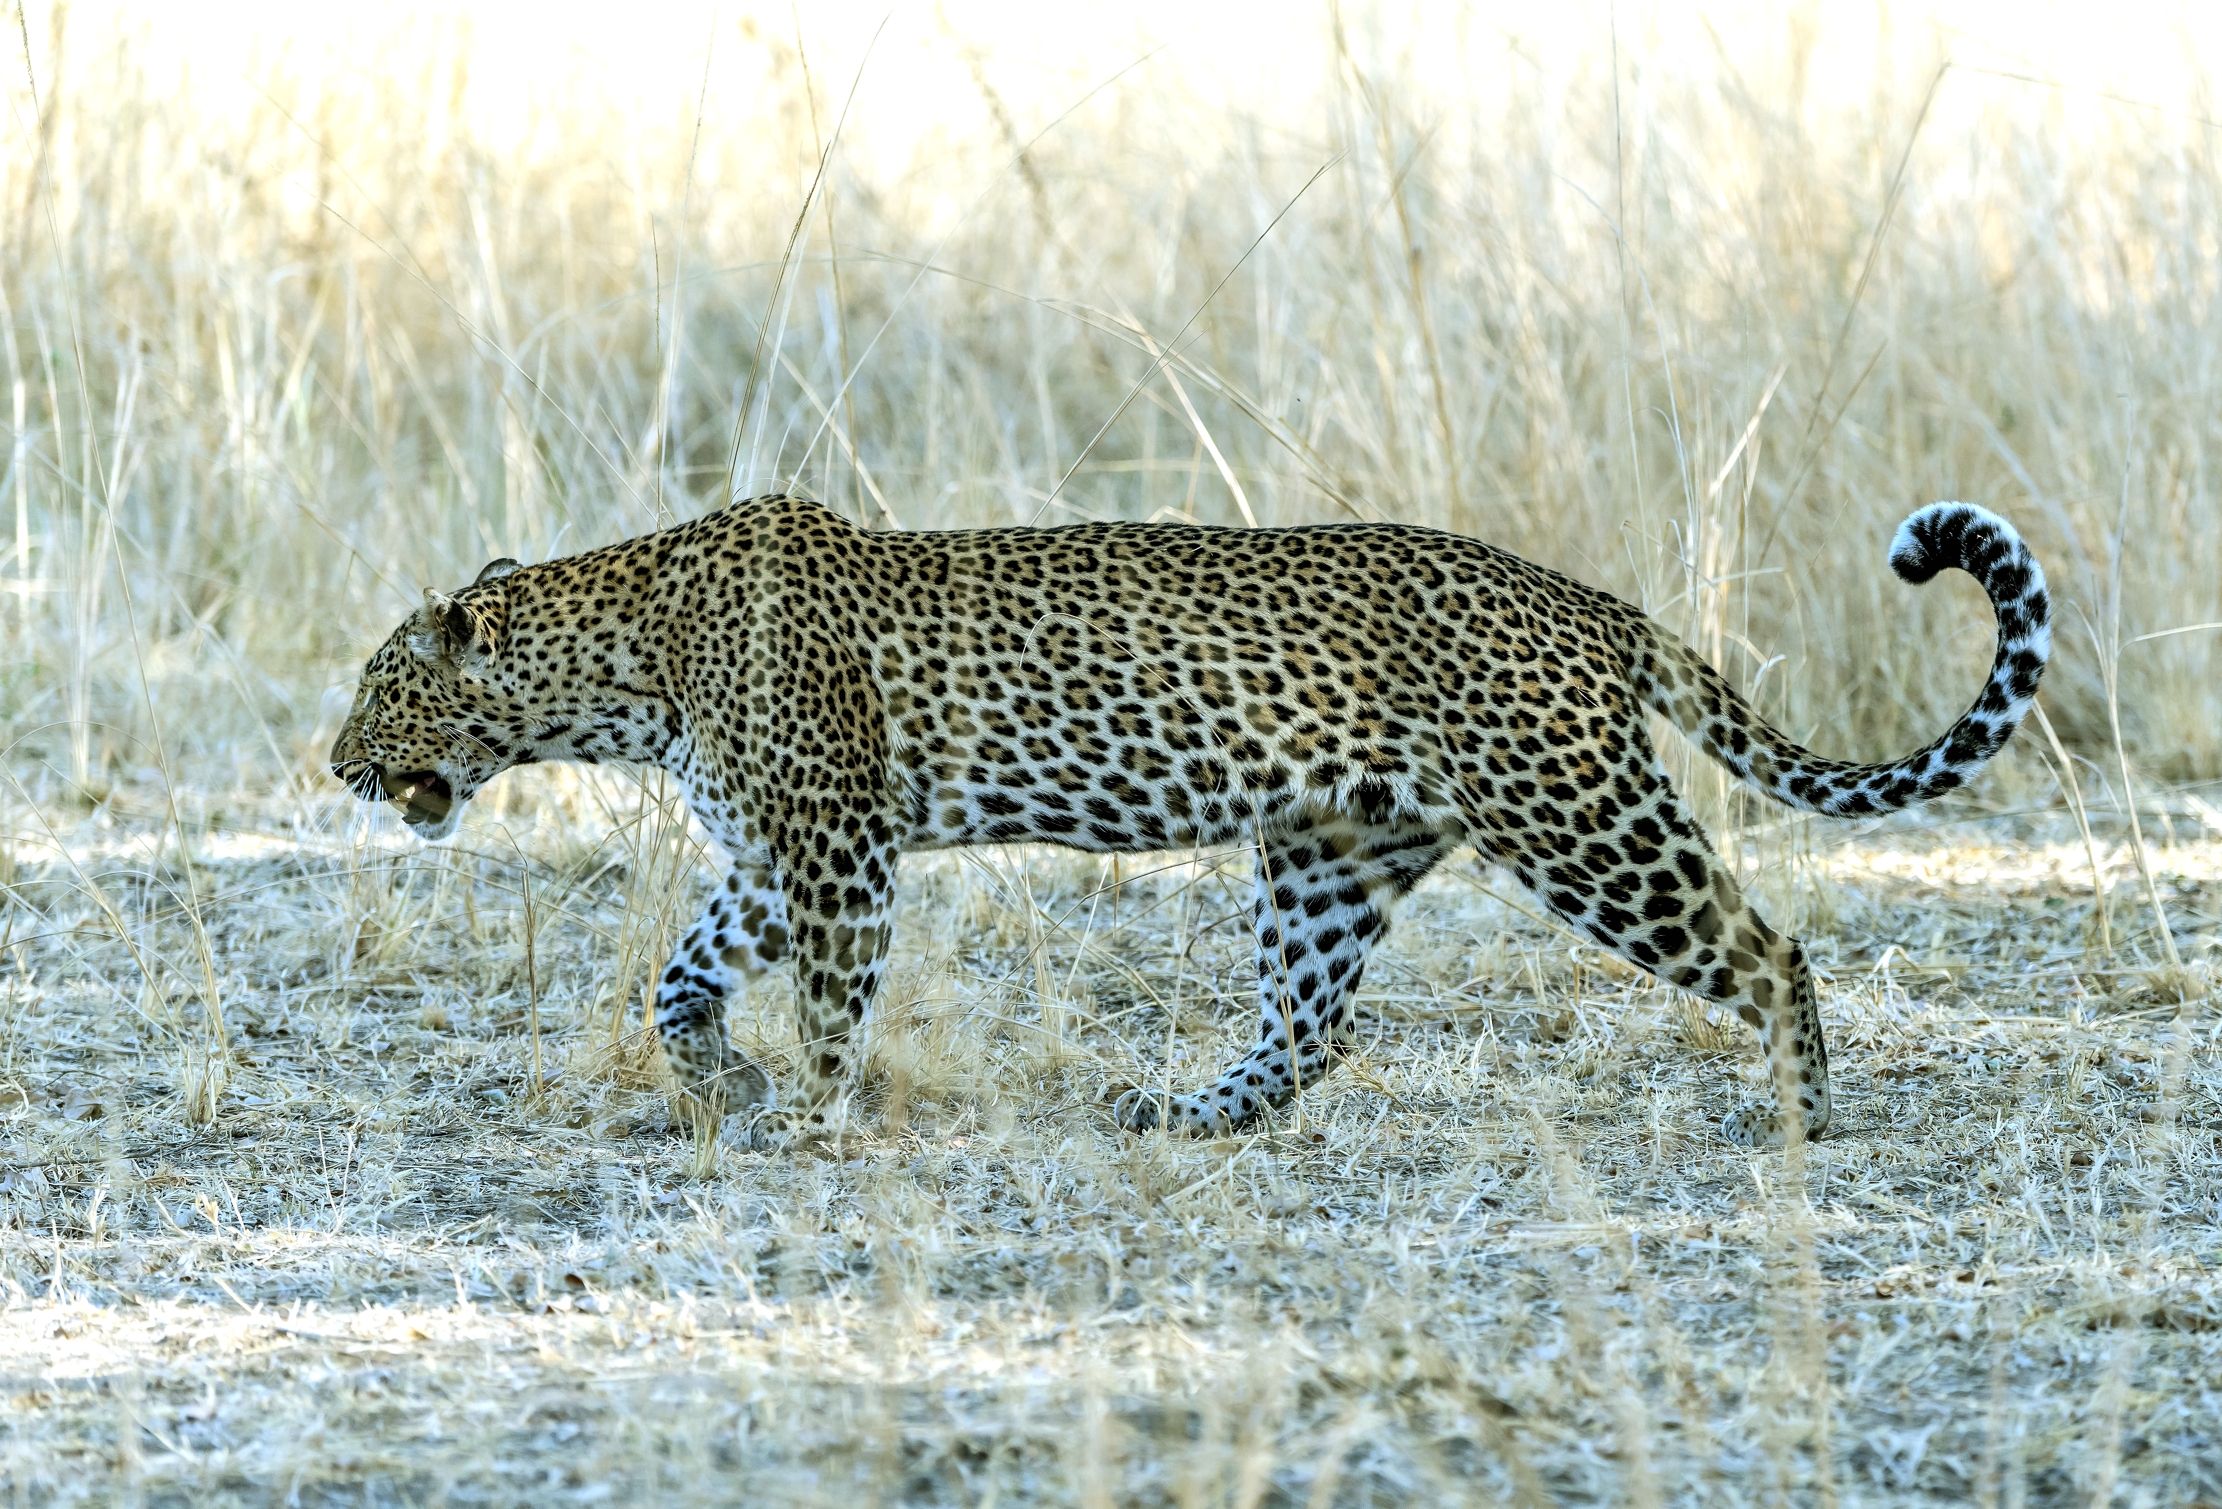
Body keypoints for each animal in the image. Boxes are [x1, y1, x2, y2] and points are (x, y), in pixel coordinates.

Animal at [330, 493, 2049, 1150]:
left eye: (375, 688)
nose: (333, 765)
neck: (621, 663)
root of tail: (1598, 604)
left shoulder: (834, 847)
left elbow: (824, 1002)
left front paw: (813, 1118)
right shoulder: (782, 850)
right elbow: (681, 971)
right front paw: (717, 1075)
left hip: (1578, 821)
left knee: (1767, 949)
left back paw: (1800, 1119)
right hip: (1329, 852)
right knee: (1311, 1026)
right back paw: (1184, 1114)